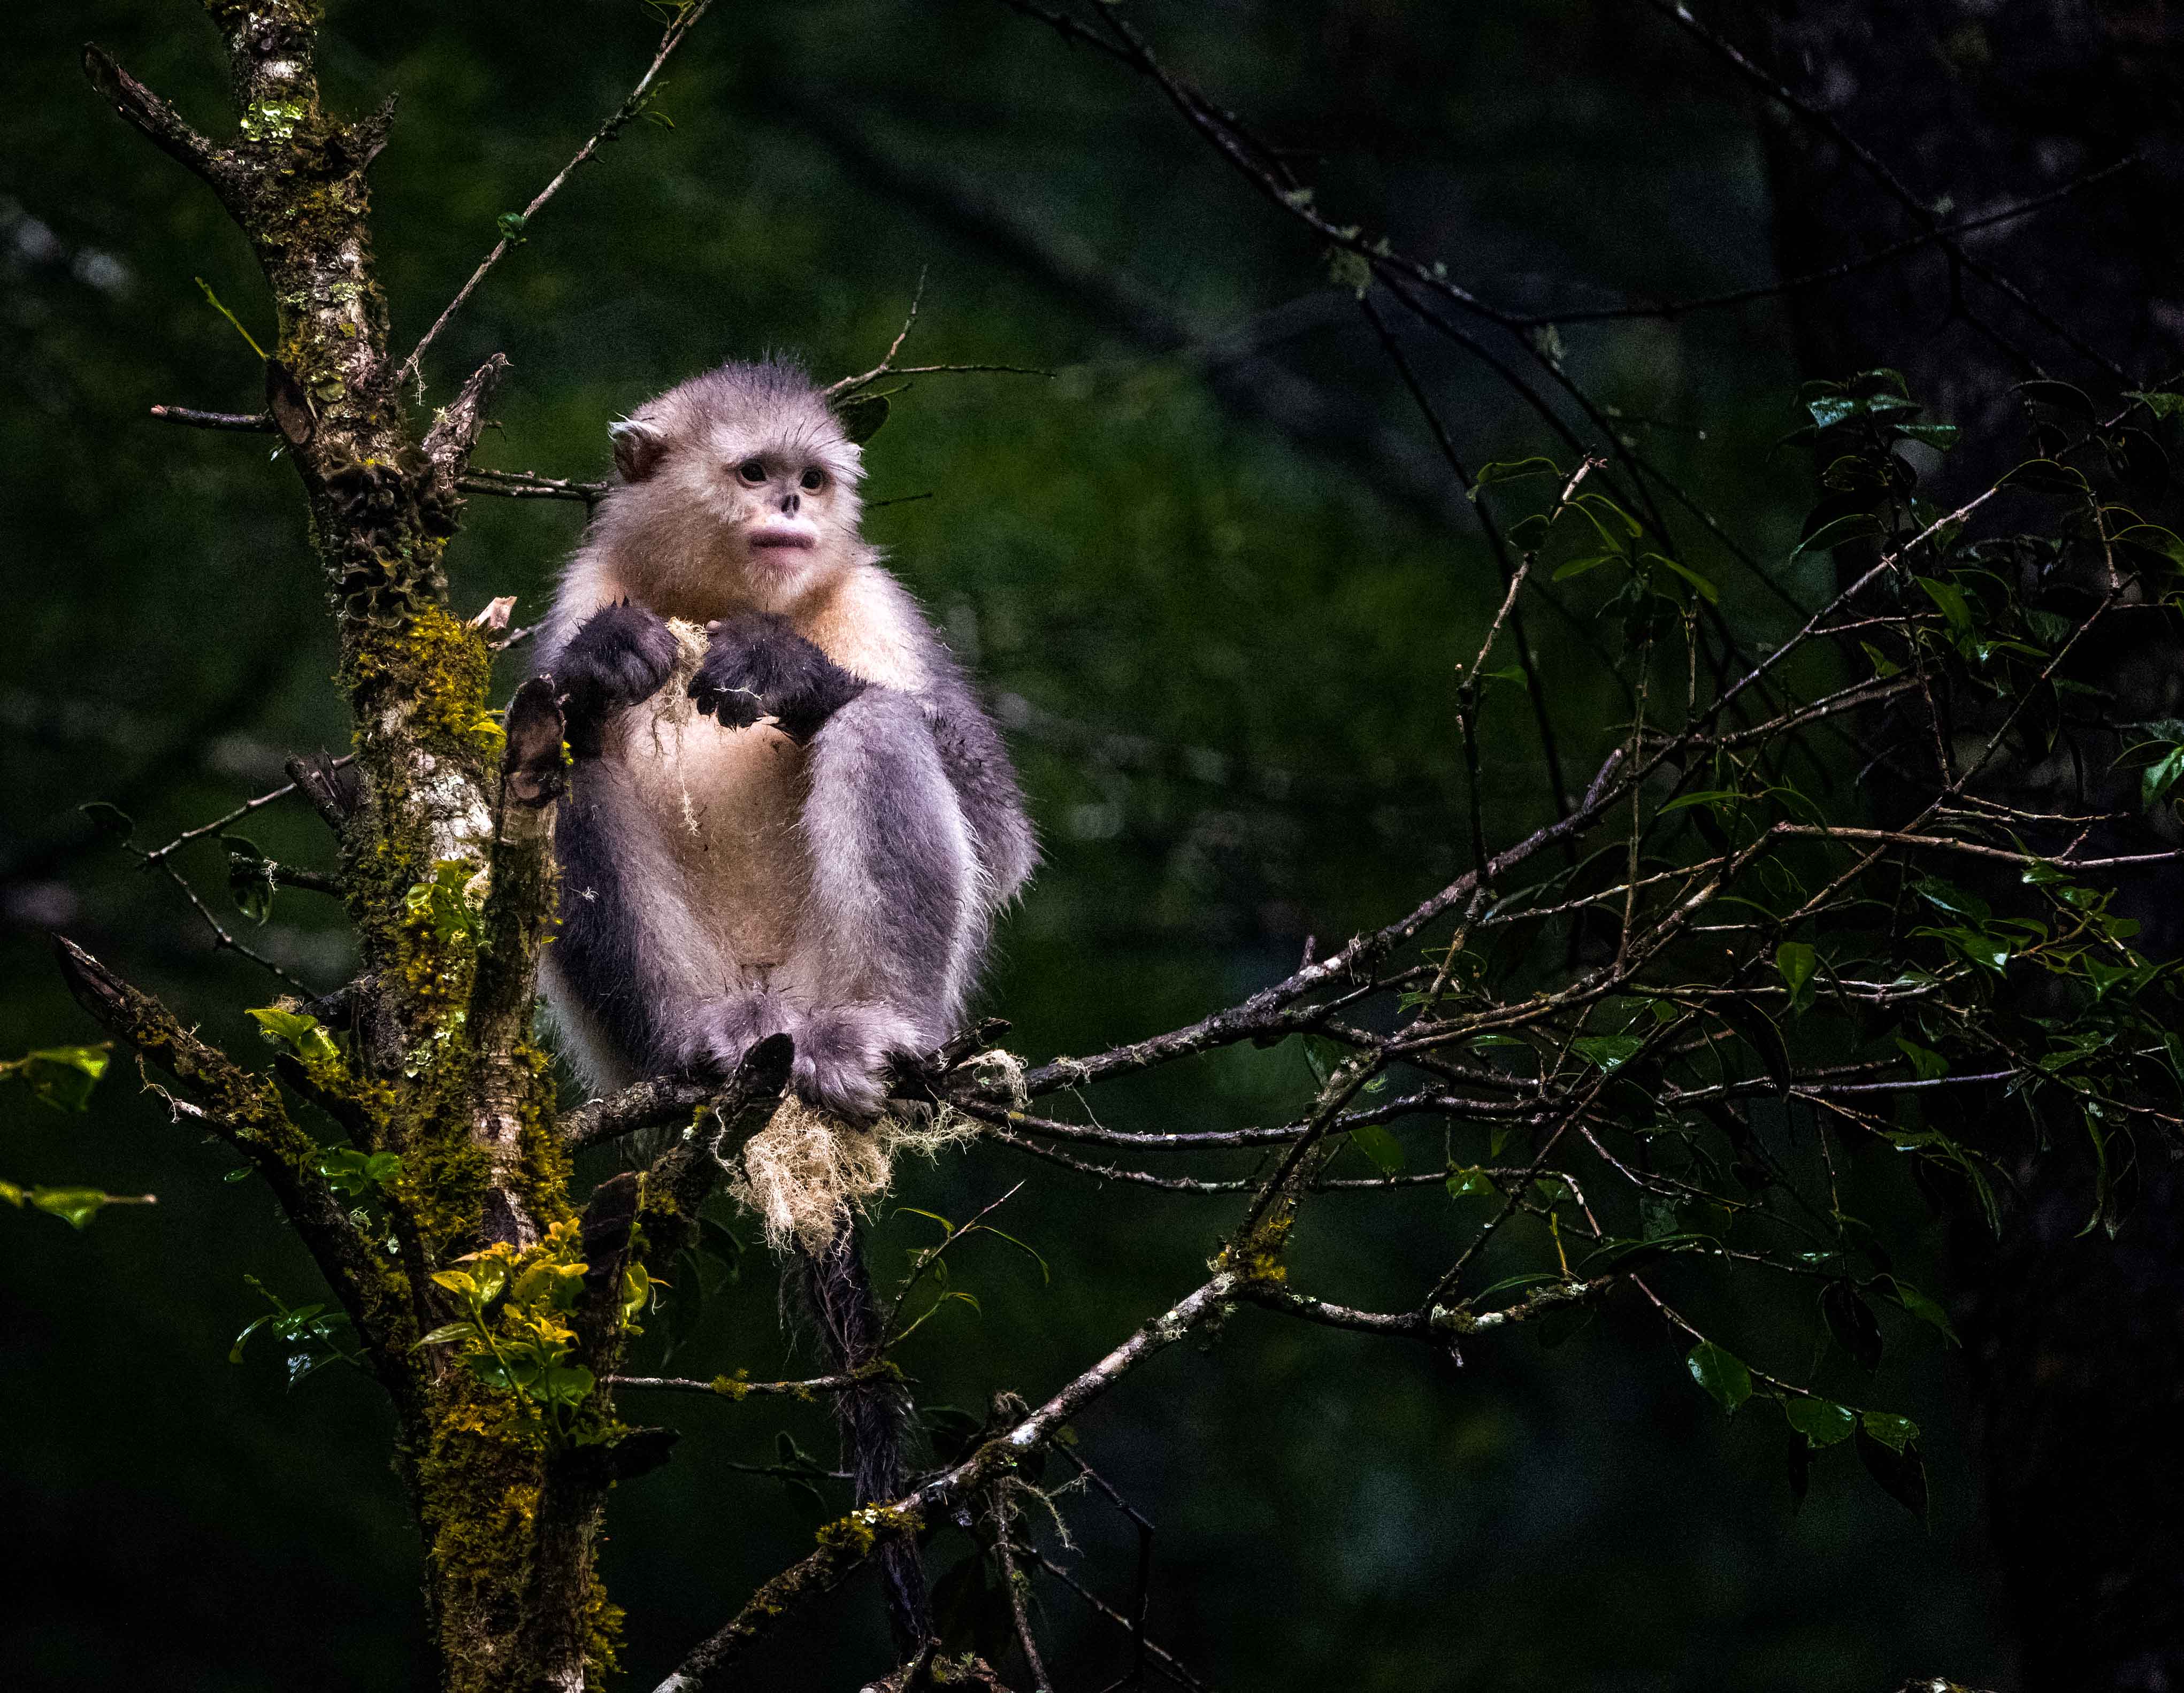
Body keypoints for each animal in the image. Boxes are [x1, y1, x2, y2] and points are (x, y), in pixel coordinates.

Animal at [533, 353, 1035, 1643]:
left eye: (811, 478)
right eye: (756, 473)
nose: (796, 511)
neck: (715, 599)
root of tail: (781, 1027)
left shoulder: (881, 607)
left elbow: (997, 833)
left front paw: (786, 673)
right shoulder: (580, 597)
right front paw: (600, 671)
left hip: (854, 986)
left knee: (878, 722)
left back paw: (870, 1041)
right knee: (576, 776)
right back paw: (699, 1048)